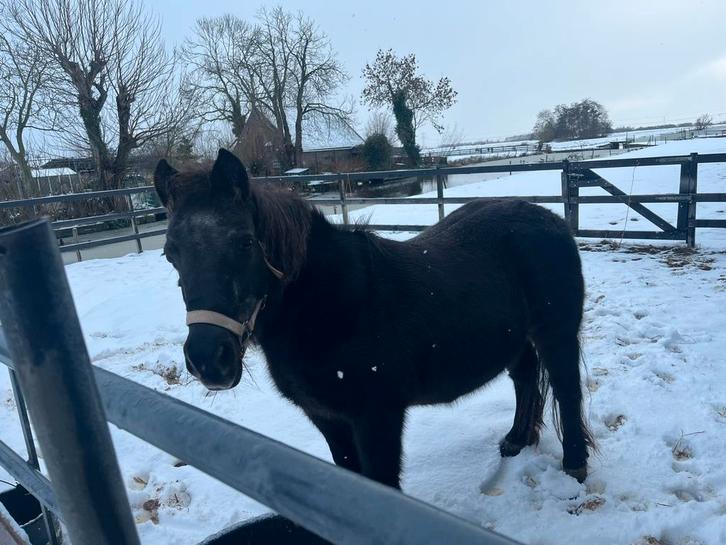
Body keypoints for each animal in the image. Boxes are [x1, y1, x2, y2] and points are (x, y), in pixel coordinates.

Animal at [154, 149, 594, 489]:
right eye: (170, 253)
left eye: (245, 243)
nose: (209, 360)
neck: (330, 306)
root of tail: (550, 219)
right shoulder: (326, 418)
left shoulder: (376, 417)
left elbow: (382, 482)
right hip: (515, 338)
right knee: (525, 378)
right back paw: (516, 439)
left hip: (556, 333)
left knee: (567, 390)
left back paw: (575, 467)